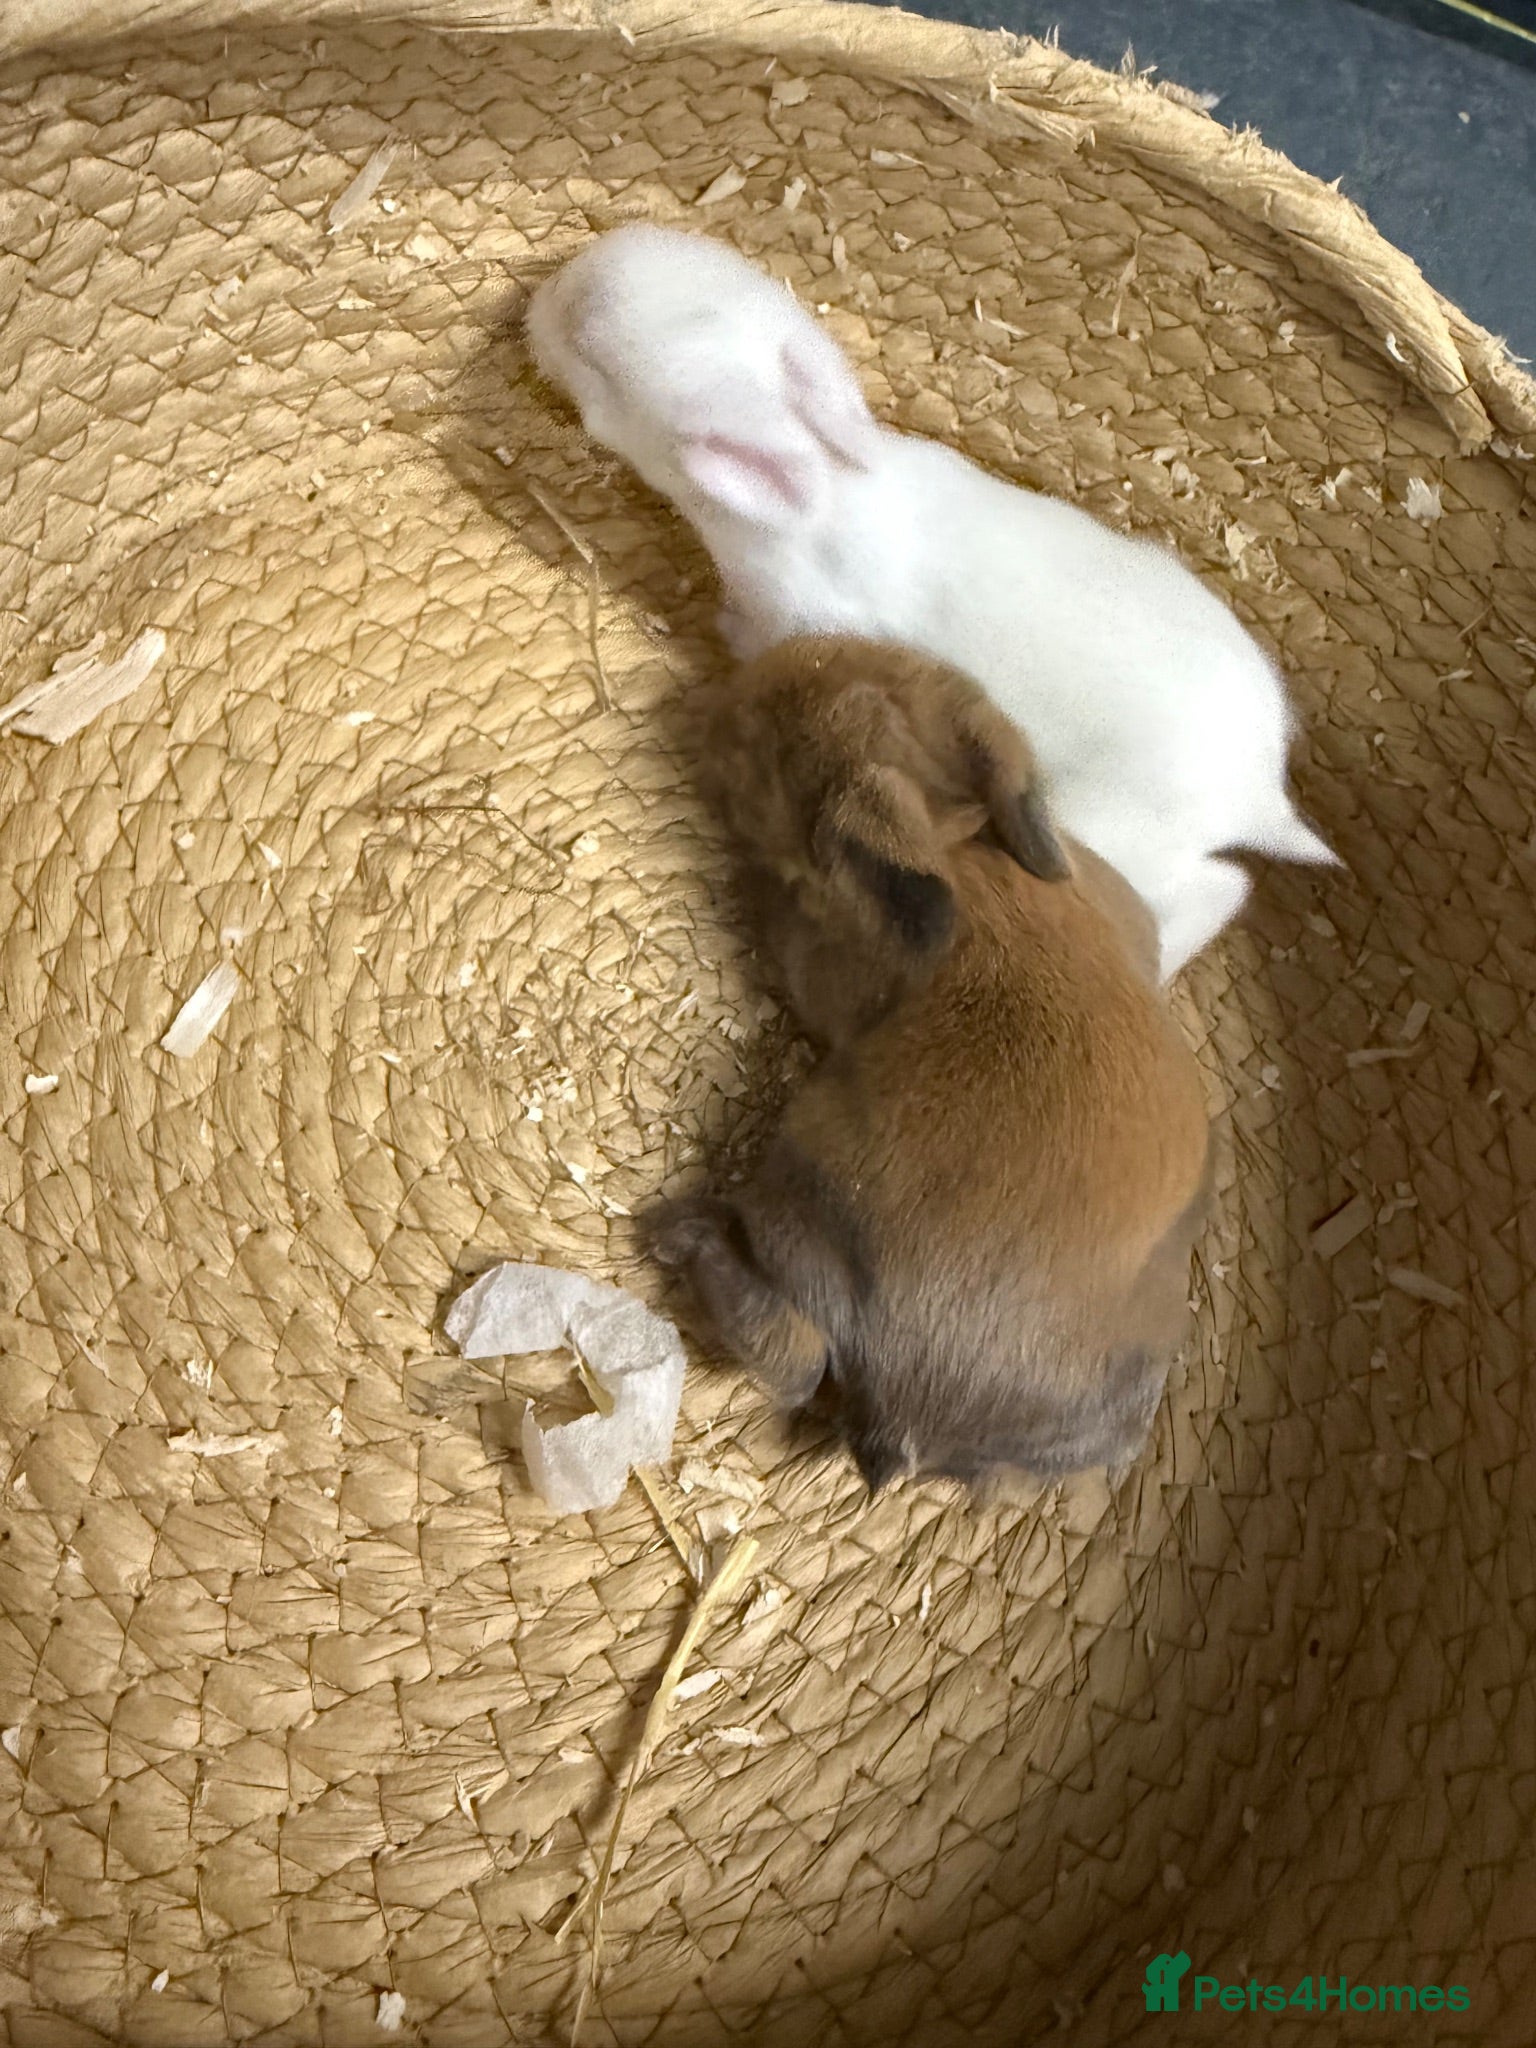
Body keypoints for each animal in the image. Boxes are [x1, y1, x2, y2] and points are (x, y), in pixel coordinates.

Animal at [646, 636, 1214, 1491]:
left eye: (770, 753)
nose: (720, 700)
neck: (963, 850)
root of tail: (910, 1416)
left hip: (797, 1203)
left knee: (795, 1359)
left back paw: (677, 1231)